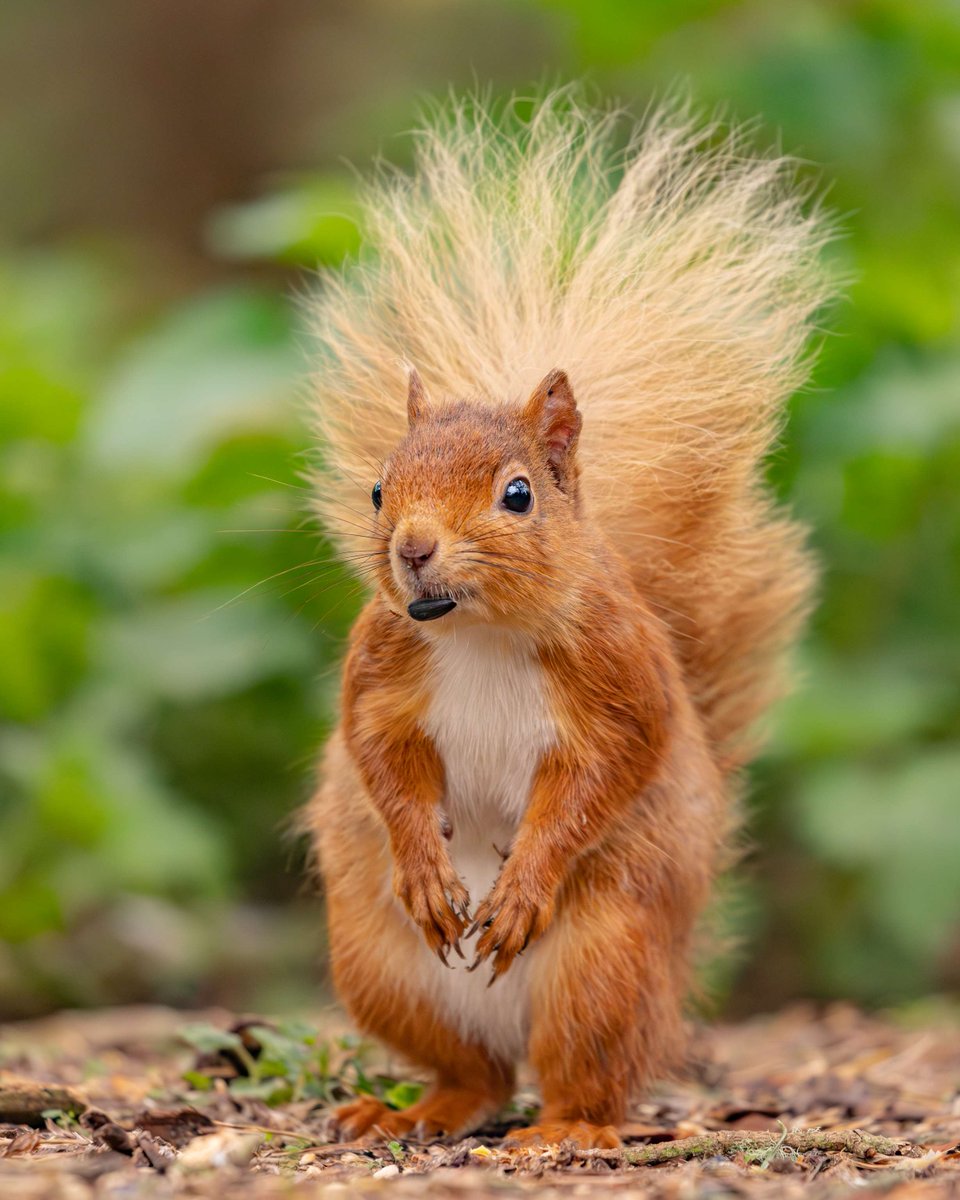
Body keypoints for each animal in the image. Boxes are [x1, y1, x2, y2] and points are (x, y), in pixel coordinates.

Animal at [303, 93, 831, 1149]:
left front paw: (522, 886)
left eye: (517, 496)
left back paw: (568, 1131)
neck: (478, 632)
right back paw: (410, 1108)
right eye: (379, 489)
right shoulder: (381, 667)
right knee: (475, 1074)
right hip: (378, 969)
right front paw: (425, 866)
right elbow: (379, 758)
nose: (412, 549)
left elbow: (603, 774)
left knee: (585, 1074)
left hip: (605, 966)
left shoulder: (619, 674)